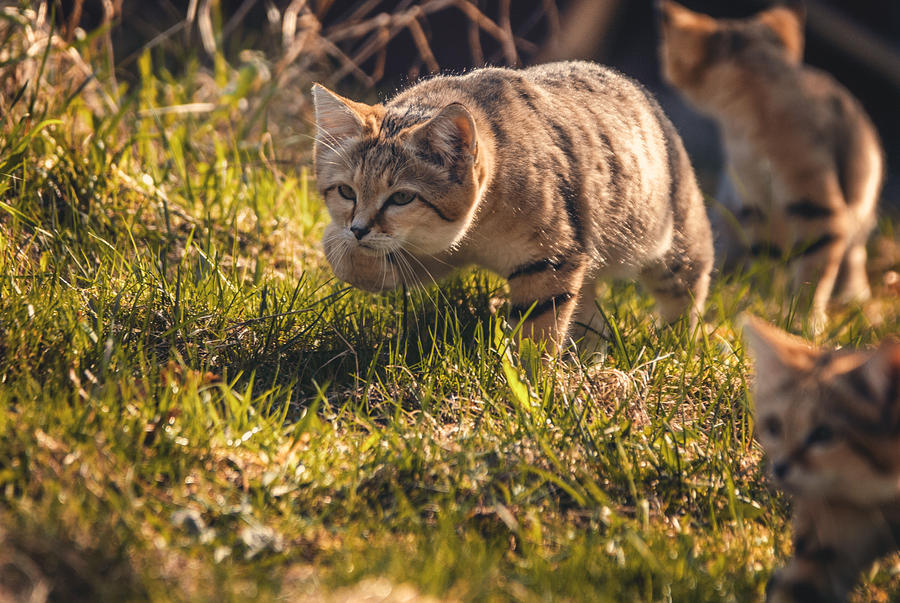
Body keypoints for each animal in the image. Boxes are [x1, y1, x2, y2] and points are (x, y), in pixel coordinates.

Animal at [312, 60, 712, 354]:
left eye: (401, 197)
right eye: (346, 191)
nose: (359, 229)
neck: (479, 226)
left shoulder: (550, 260)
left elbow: (538, 334)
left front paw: (531, 387)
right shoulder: (432, 252)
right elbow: (342, 254)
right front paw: (352, 254)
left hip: (674, 246)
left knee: (689, 290)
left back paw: (677, 346)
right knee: (592, 315)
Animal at [656, 1, 884, 330]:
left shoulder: (816, 204)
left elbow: (814, 270)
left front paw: (804, 321)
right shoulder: (756, 203)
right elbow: (767, 259)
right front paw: (764, 305)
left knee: (854, 252)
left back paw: (853, 295)